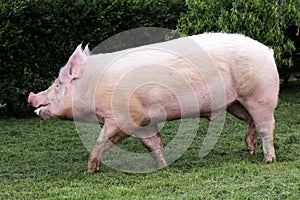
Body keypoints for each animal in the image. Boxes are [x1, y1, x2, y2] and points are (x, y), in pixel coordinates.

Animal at [27, 32, 278, 172]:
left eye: (58, 85)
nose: (31, 95)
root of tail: (267, 50)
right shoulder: (144, 121)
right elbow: (153, 144)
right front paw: (162, 167)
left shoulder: (125, 116)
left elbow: (102, 140)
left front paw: (90, 170)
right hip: (235, 102)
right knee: (251, 121)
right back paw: (250, 150)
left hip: (260, 94)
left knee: (267, 126)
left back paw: (267, 160)